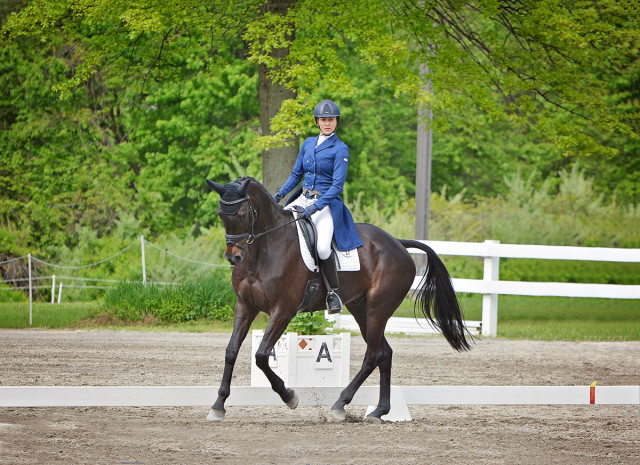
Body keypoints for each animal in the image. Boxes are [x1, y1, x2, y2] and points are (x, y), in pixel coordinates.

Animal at [206, 176, 470, 422]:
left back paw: (340, 404)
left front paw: (290, 396)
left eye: (242, 214)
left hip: (378, 310)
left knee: (372, 356)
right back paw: (379, 411)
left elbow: (261, 356)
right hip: (360, 309)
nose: (233, 257)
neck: (262, 252)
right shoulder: (245, 306)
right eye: (220, 214)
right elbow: (231, 351)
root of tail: (397, 243)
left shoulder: (283, 310)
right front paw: (218, 406)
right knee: (385, 353)